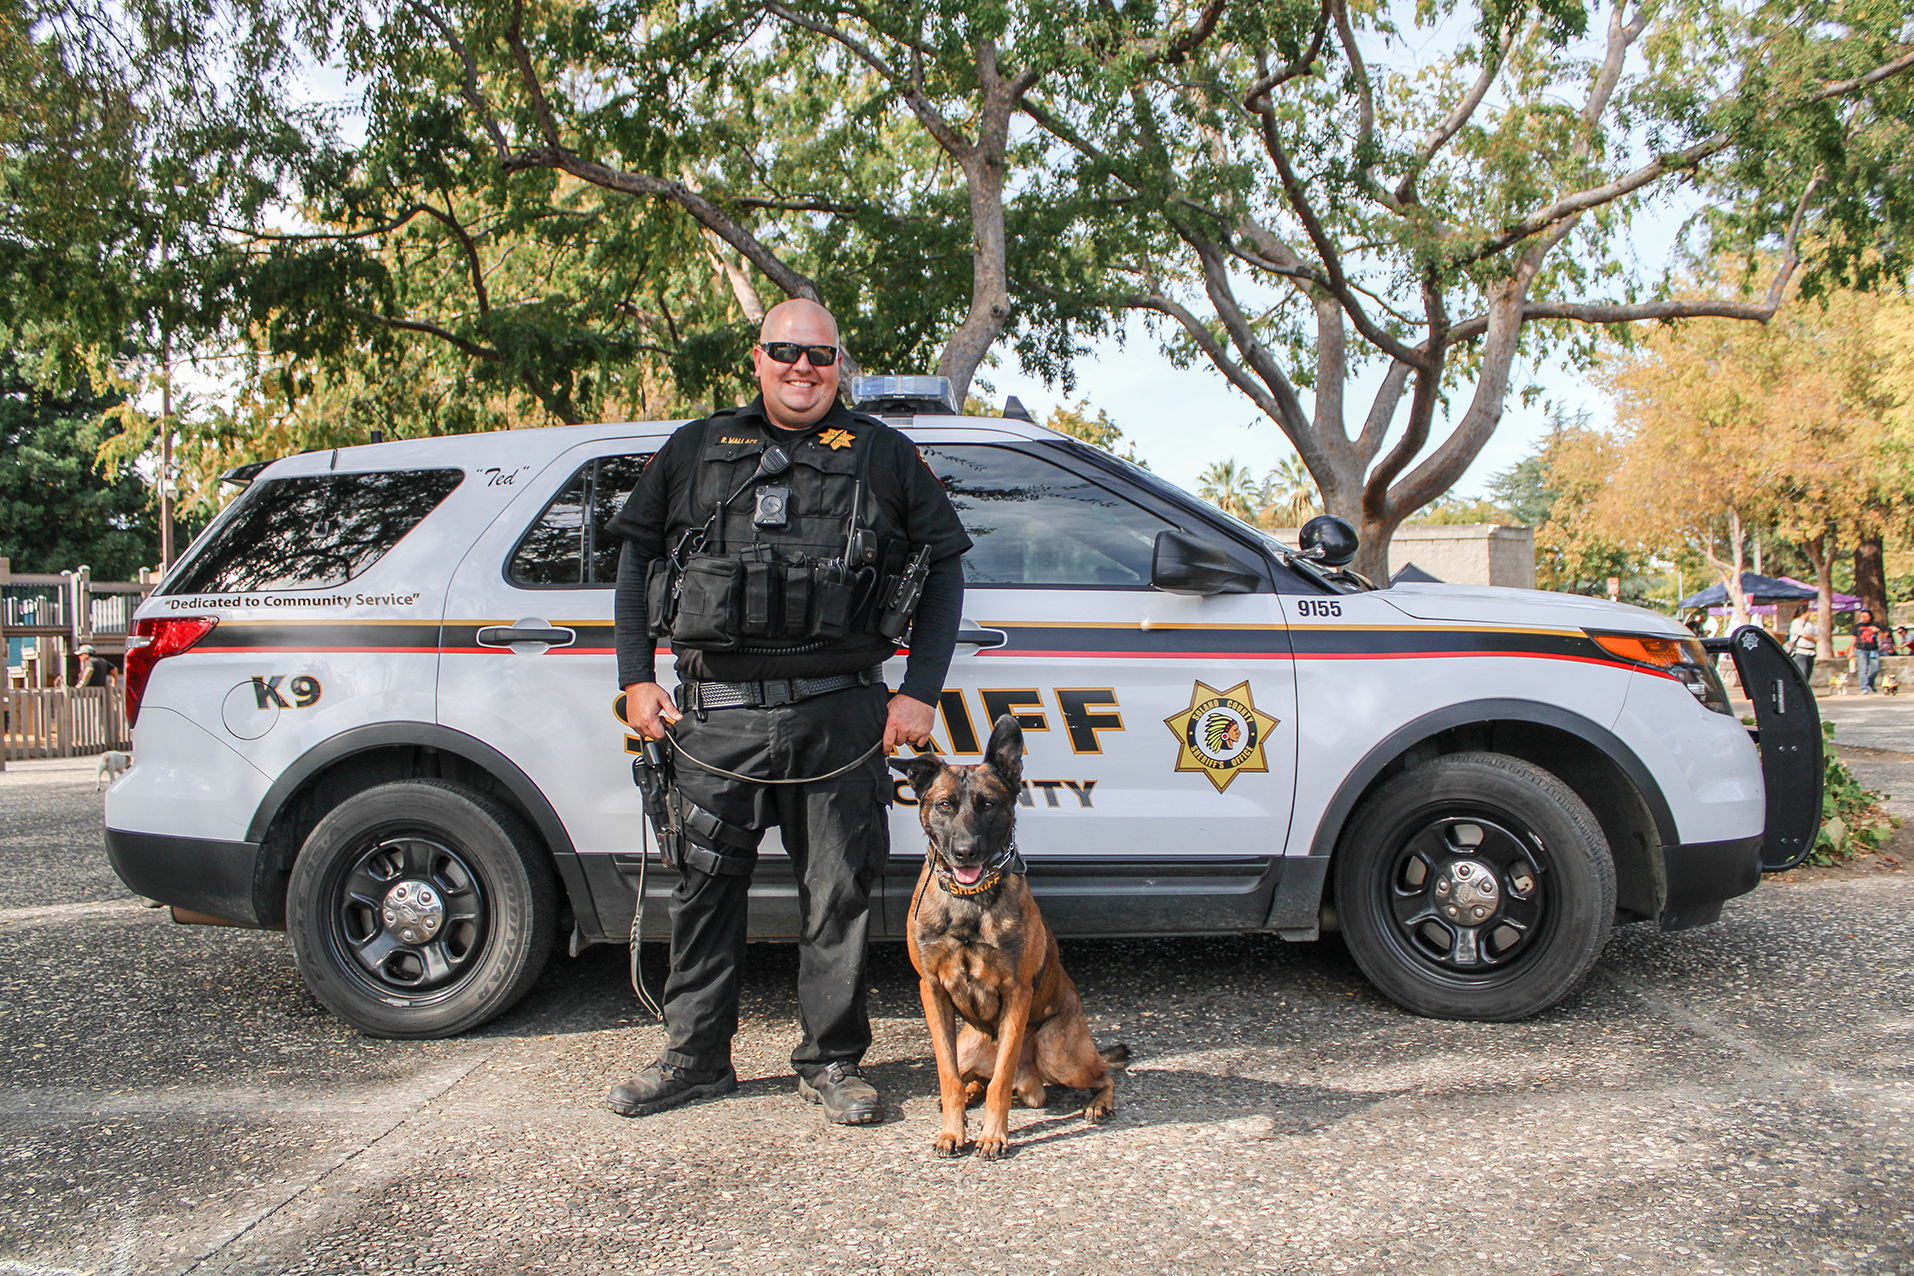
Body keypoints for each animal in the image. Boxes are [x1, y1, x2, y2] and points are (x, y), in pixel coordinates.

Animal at [888, 719, 1125, 1155]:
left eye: (988, 805)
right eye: (944, 805)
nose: (965, 852)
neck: (967, 901)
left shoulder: (1017, 992)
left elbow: (1000, 1080)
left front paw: (993, 1136)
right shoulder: (932, 990)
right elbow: (946, 1074)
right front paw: (953, 1130)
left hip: (1058, 1054)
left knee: (1102, 1075)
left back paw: (1099, 1104)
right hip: (969, 1047)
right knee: (971, 1077)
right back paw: (967, 1097)